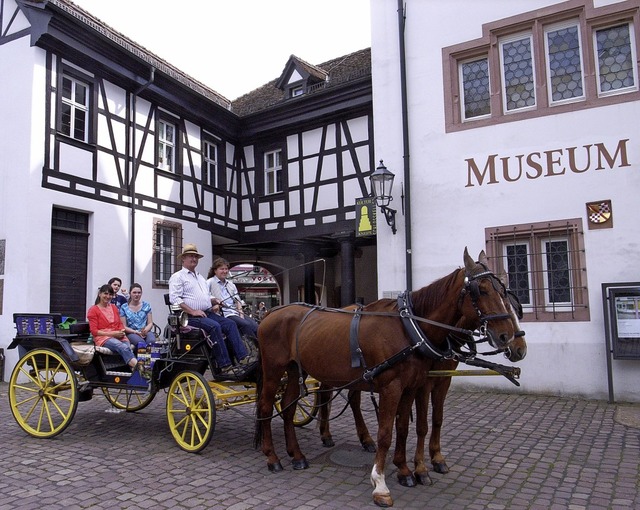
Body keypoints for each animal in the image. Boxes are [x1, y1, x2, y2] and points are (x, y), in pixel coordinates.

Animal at [254, 248, 516, 506]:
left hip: (295, 370)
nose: (507, 336)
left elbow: (403, 427)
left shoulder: (411, 386)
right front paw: (380, 484)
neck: (409, 329)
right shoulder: (393, 387)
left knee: (288, 407)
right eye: (482, 290)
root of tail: (271, 313)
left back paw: (297, 455)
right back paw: (272, 457)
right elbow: (385, 433)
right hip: (274, 370)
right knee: (266, 407)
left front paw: (405, 470)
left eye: (502, 290)